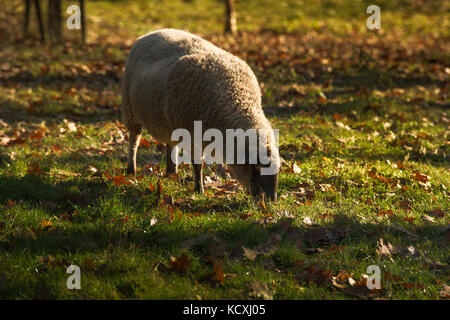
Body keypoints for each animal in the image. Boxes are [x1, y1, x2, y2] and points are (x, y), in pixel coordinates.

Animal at [121, 28, 280, 201]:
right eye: (256, 168)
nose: (271, 201)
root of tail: (152, 32)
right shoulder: (193, 136)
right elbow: (198, 165)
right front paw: (199, 190)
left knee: (170, 144)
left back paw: (172, 174)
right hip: (130, 110)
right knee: (134, 141)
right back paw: (131, 170)